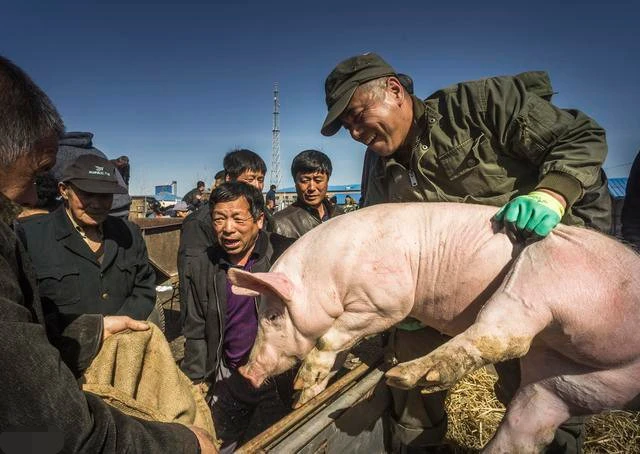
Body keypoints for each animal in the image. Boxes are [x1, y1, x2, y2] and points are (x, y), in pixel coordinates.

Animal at [228, 203, 636, 454]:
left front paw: (303, 384)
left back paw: (404, 376)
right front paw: (304, 397)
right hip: (575, 382)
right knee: (525, 429)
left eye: (273, 316)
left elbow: (329, 339)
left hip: (541, 273)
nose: (246, 372)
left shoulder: (387, 301)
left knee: (505, 336)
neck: (329, 274)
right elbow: (333, 352)